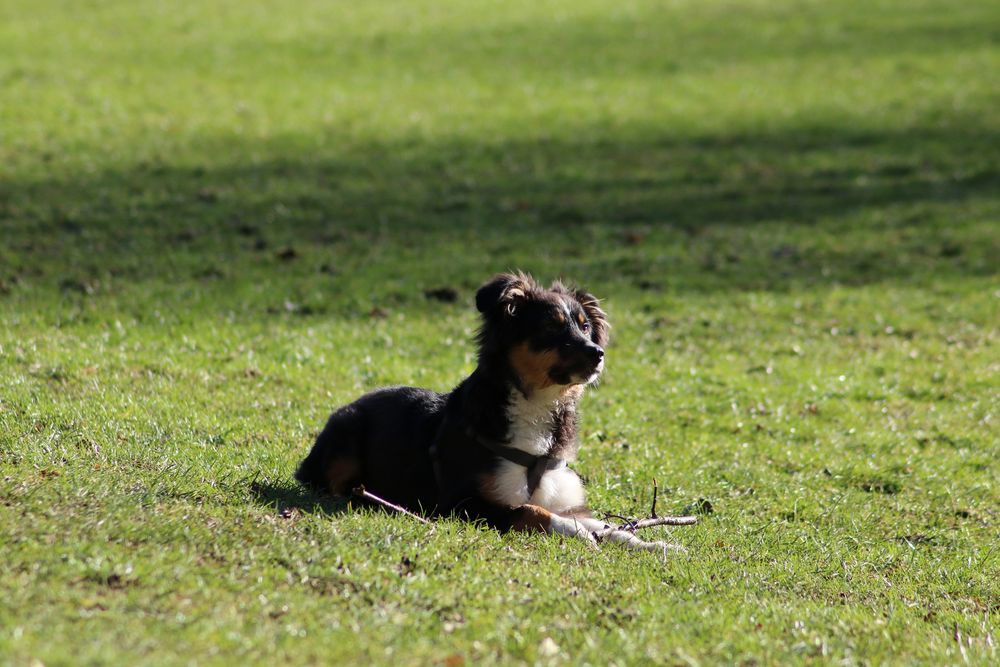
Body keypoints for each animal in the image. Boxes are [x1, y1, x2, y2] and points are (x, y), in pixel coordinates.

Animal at [296, 272, 684, 552]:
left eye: (585, 326)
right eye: (552, 327)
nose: (597, 353)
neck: (538, 407)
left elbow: (608, 526)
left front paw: (656, 544)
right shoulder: (461, 503)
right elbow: (532, 510)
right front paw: (573, 532)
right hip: (344, 437)